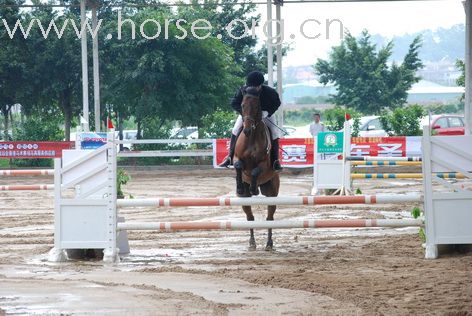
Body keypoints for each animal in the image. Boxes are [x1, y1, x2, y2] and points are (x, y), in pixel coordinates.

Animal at [233, 86, 280, 249]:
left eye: (256, 106)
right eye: (242, 106)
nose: (247, 130)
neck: (252, 138)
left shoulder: (264, 164)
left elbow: (255, 171)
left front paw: (254, 189)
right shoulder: (237, 158)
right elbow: (238, 165)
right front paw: (240, 186)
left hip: (272, 194)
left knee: (270, 218)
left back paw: (269, 244)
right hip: (244, 201)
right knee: (250, 218)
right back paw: (252, 243)